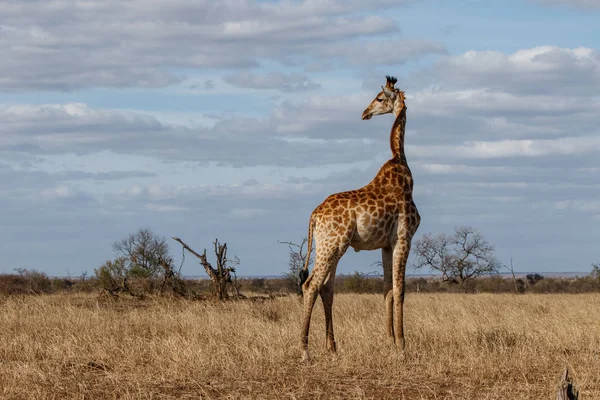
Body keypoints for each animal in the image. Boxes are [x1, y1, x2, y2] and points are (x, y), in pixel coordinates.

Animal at [298, 75, 420, 360]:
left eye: (379, 97)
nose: (365, 113)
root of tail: (314, 215)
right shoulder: (404, 237)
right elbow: (400, 289)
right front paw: (402, 347)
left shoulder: (386, 244)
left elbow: (387, 290)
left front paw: (390, 342)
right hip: (333, 245)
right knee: (311, 285)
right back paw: (305, 350)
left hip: (328, 246)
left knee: (326, 288)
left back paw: (332, 348)